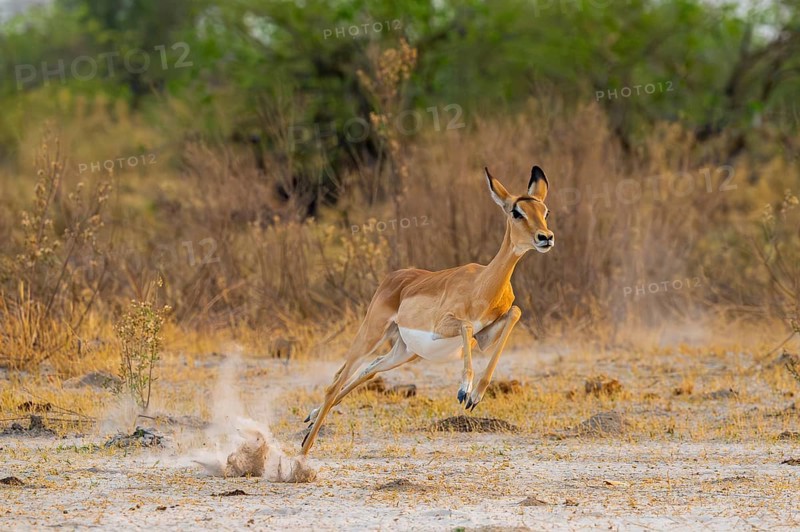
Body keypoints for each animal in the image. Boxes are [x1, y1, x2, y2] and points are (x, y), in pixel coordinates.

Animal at [301, 165, 554, 454]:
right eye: (516, 211)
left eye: (545, 211)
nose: (545, 237)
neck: (482, 284)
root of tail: (394, 277)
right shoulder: (445, 326)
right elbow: (467, 323)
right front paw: (464, 390)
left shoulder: (484, 337)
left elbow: (515, 312)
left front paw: (475, 395)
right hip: (371, 333)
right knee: (335, 384)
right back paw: (304, 448)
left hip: (403, 351)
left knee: (368, 369)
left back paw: (309, 423)